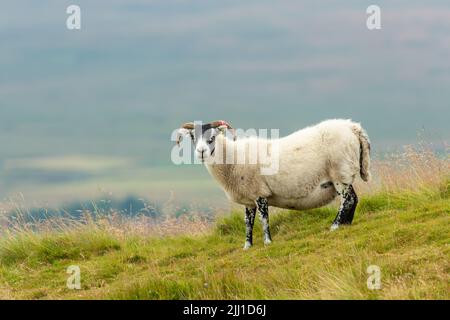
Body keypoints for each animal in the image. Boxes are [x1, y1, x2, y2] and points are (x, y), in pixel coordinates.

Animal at [174, 119, 370, 249]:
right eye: (193, 136)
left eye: (213, 137)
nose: (201, 151)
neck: (232, 158)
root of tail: (353, 127)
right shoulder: (249, 199)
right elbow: (248, 222)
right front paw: (247, 246)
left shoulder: (259, 193)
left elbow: (264, 219)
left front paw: (268, 242)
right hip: (343, 174)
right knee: (353, 199)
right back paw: (346, 224)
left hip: (341, 172)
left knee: (348, 200)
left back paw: (335, 226)